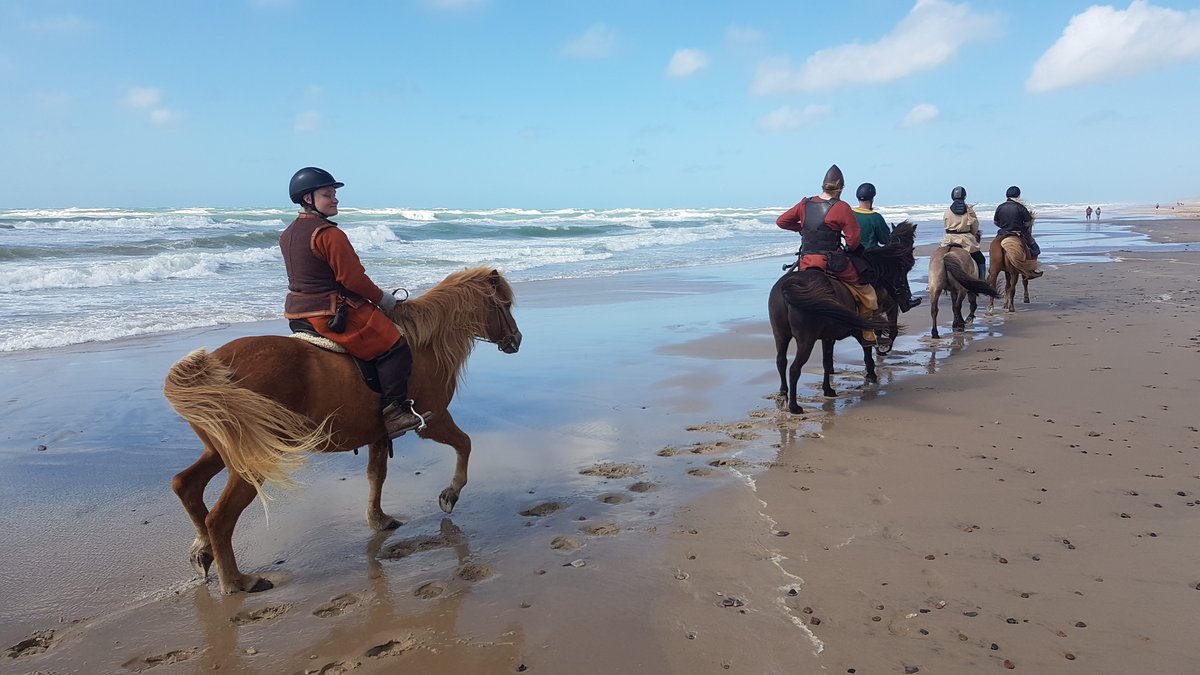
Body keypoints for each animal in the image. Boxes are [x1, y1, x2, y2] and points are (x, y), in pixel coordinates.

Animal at [163, 267, 521, 594]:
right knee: (219, 518)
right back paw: (236, 580)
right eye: (503, 304)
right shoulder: (433, 420)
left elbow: (377, 476)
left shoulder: (379, 433)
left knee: (186, 485)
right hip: (251, 459)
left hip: (220, 451)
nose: (516, 340)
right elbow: (465, 444)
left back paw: (203, 550)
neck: (424, 342)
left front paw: (378, 519)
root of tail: (209, 368)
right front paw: (451, 493)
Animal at [771, 221, 915, 414]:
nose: (906, 297)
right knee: (794, 369)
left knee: (781, 361)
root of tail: (788, 286)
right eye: (903, 269)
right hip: (805, 340)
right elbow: (866, 347)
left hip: (780, 335)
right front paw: (871, 373)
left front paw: (828, 389)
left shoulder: (827, 336)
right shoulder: (859, 326)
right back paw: (794, 406)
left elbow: (826, 361)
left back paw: (783, 395)